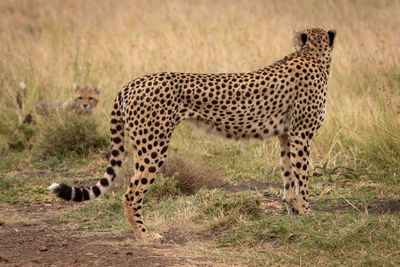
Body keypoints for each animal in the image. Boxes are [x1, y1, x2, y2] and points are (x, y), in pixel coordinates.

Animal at [50, 28, 338, 242]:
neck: (313, 55)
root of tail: (132, 82)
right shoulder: (301, 134)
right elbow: (303, 177)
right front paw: (308, 214)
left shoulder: (286, 135)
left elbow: (289, 176)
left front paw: (294, 212)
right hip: (154, 147)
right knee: (130, 194)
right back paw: (145, 236)